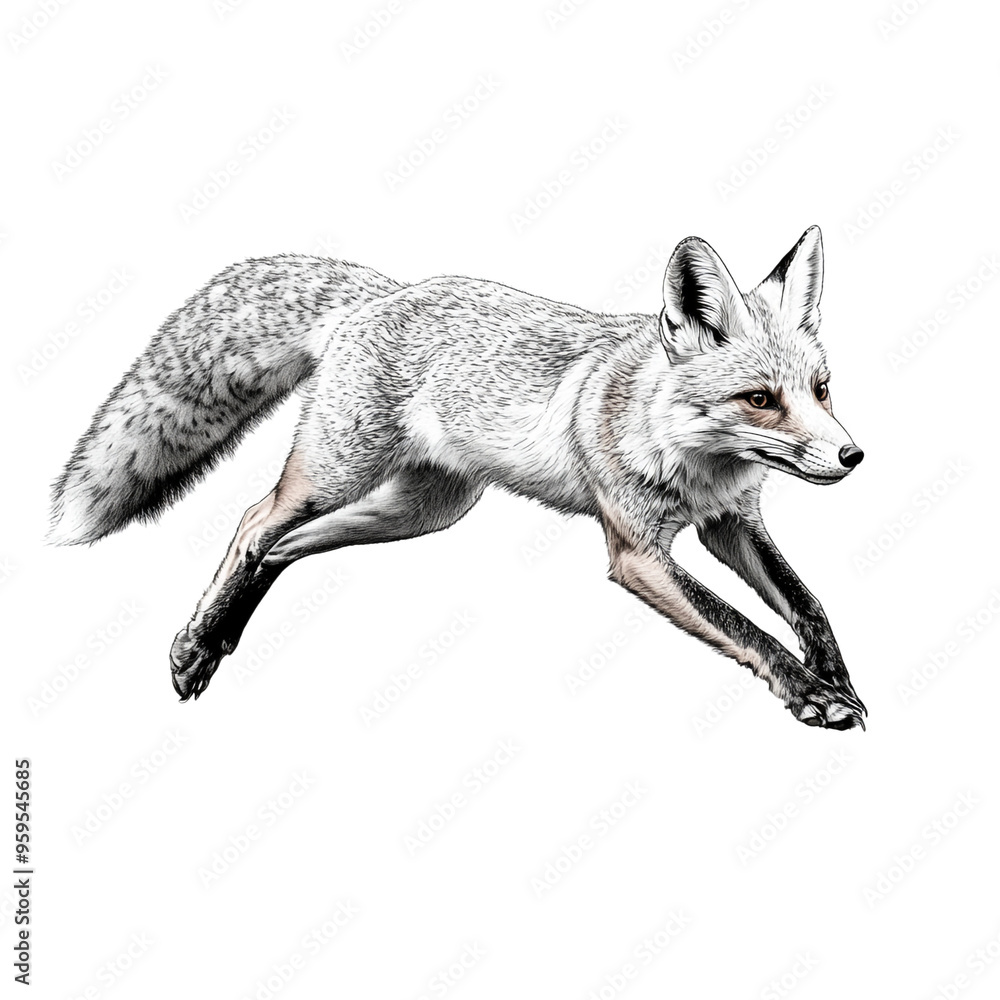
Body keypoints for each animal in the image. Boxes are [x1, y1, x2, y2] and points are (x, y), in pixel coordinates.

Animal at [49, 226, 867, 729]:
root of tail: (383, 293)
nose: (853, 457)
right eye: (760, 399)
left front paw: (837, 676)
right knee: (253, 525)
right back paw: (197, 645)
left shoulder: (732, 524)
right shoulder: (637, 553)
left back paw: (214, 639)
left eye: (822, 391)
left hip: (423, 511)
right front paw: (812, 694)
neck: (693, 460)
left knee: (282, 548)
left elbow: (808, 605)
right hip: (335, 476)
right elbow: (745, 626)